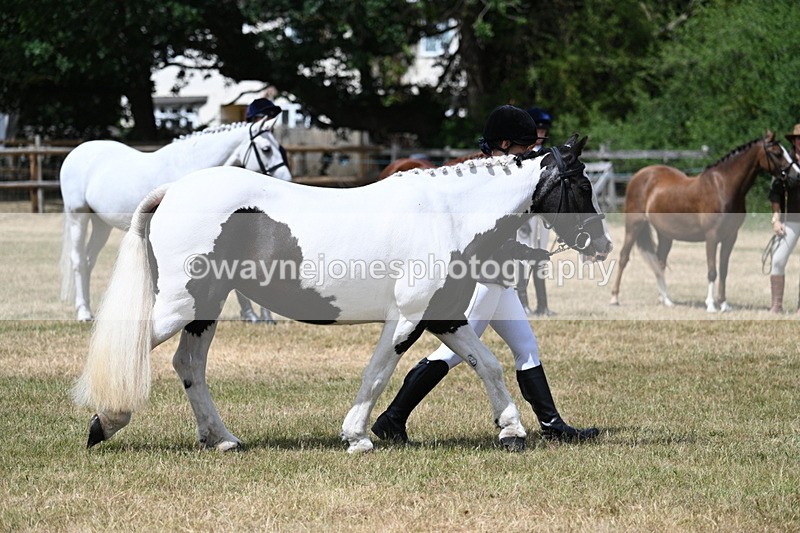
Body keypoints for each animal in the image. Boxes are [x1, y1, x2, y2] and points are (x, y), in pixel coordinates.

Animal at [59, 117, 291, 321]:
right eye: (266, 149)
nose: (287, 179)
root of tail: (76, 152)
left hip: (101, 224)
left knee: (88, 261)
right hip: (78, 216)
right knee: (78, 260)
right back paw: (83, 313)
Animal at [72, 134, 612, 454]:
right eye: (583, 185)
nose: (603, 243)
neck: (447, 215)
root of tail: (174, 191)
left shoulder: (443, 317)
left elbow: (489, 365)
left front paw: (512, 430)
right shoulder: (408, 318)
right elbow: (378, 373)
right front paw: (357, 436)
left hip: (203, 308)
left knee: (189, 366)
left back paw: (222, 439)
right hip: (181, 305)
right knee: (134, 350)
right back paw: (106, 422)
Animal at [609, 131, 800, 312]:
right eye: (777, 153)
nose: (797, 176)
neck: (723, 186)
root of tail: (640, 175)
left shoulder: (731, 237)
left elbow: (723, 270)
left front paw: (723, 304)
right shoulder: (712, 237)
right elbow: (712, 271)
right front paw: (711, 305)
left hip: (665, 234)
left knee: (660, 262)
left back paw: (666, 300)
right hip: (634, 225)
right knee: (624, 257)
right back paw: (614, 298)